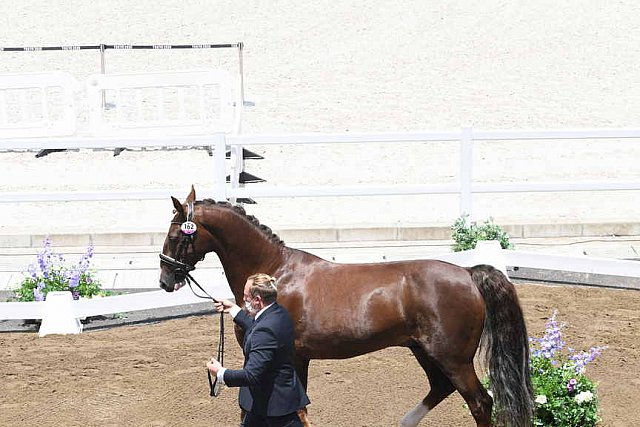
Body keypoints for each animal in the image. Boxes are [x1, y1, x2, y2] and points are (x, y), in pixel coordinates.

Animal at [160, 188, 536, 427]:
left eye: (177, 235)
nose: (165, 280)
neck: (277, 270)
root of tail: (469, 273)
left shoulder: (288, 357)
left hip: (452, 357)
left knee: (480, 403)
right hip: (424, 351)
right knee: (441, 388)